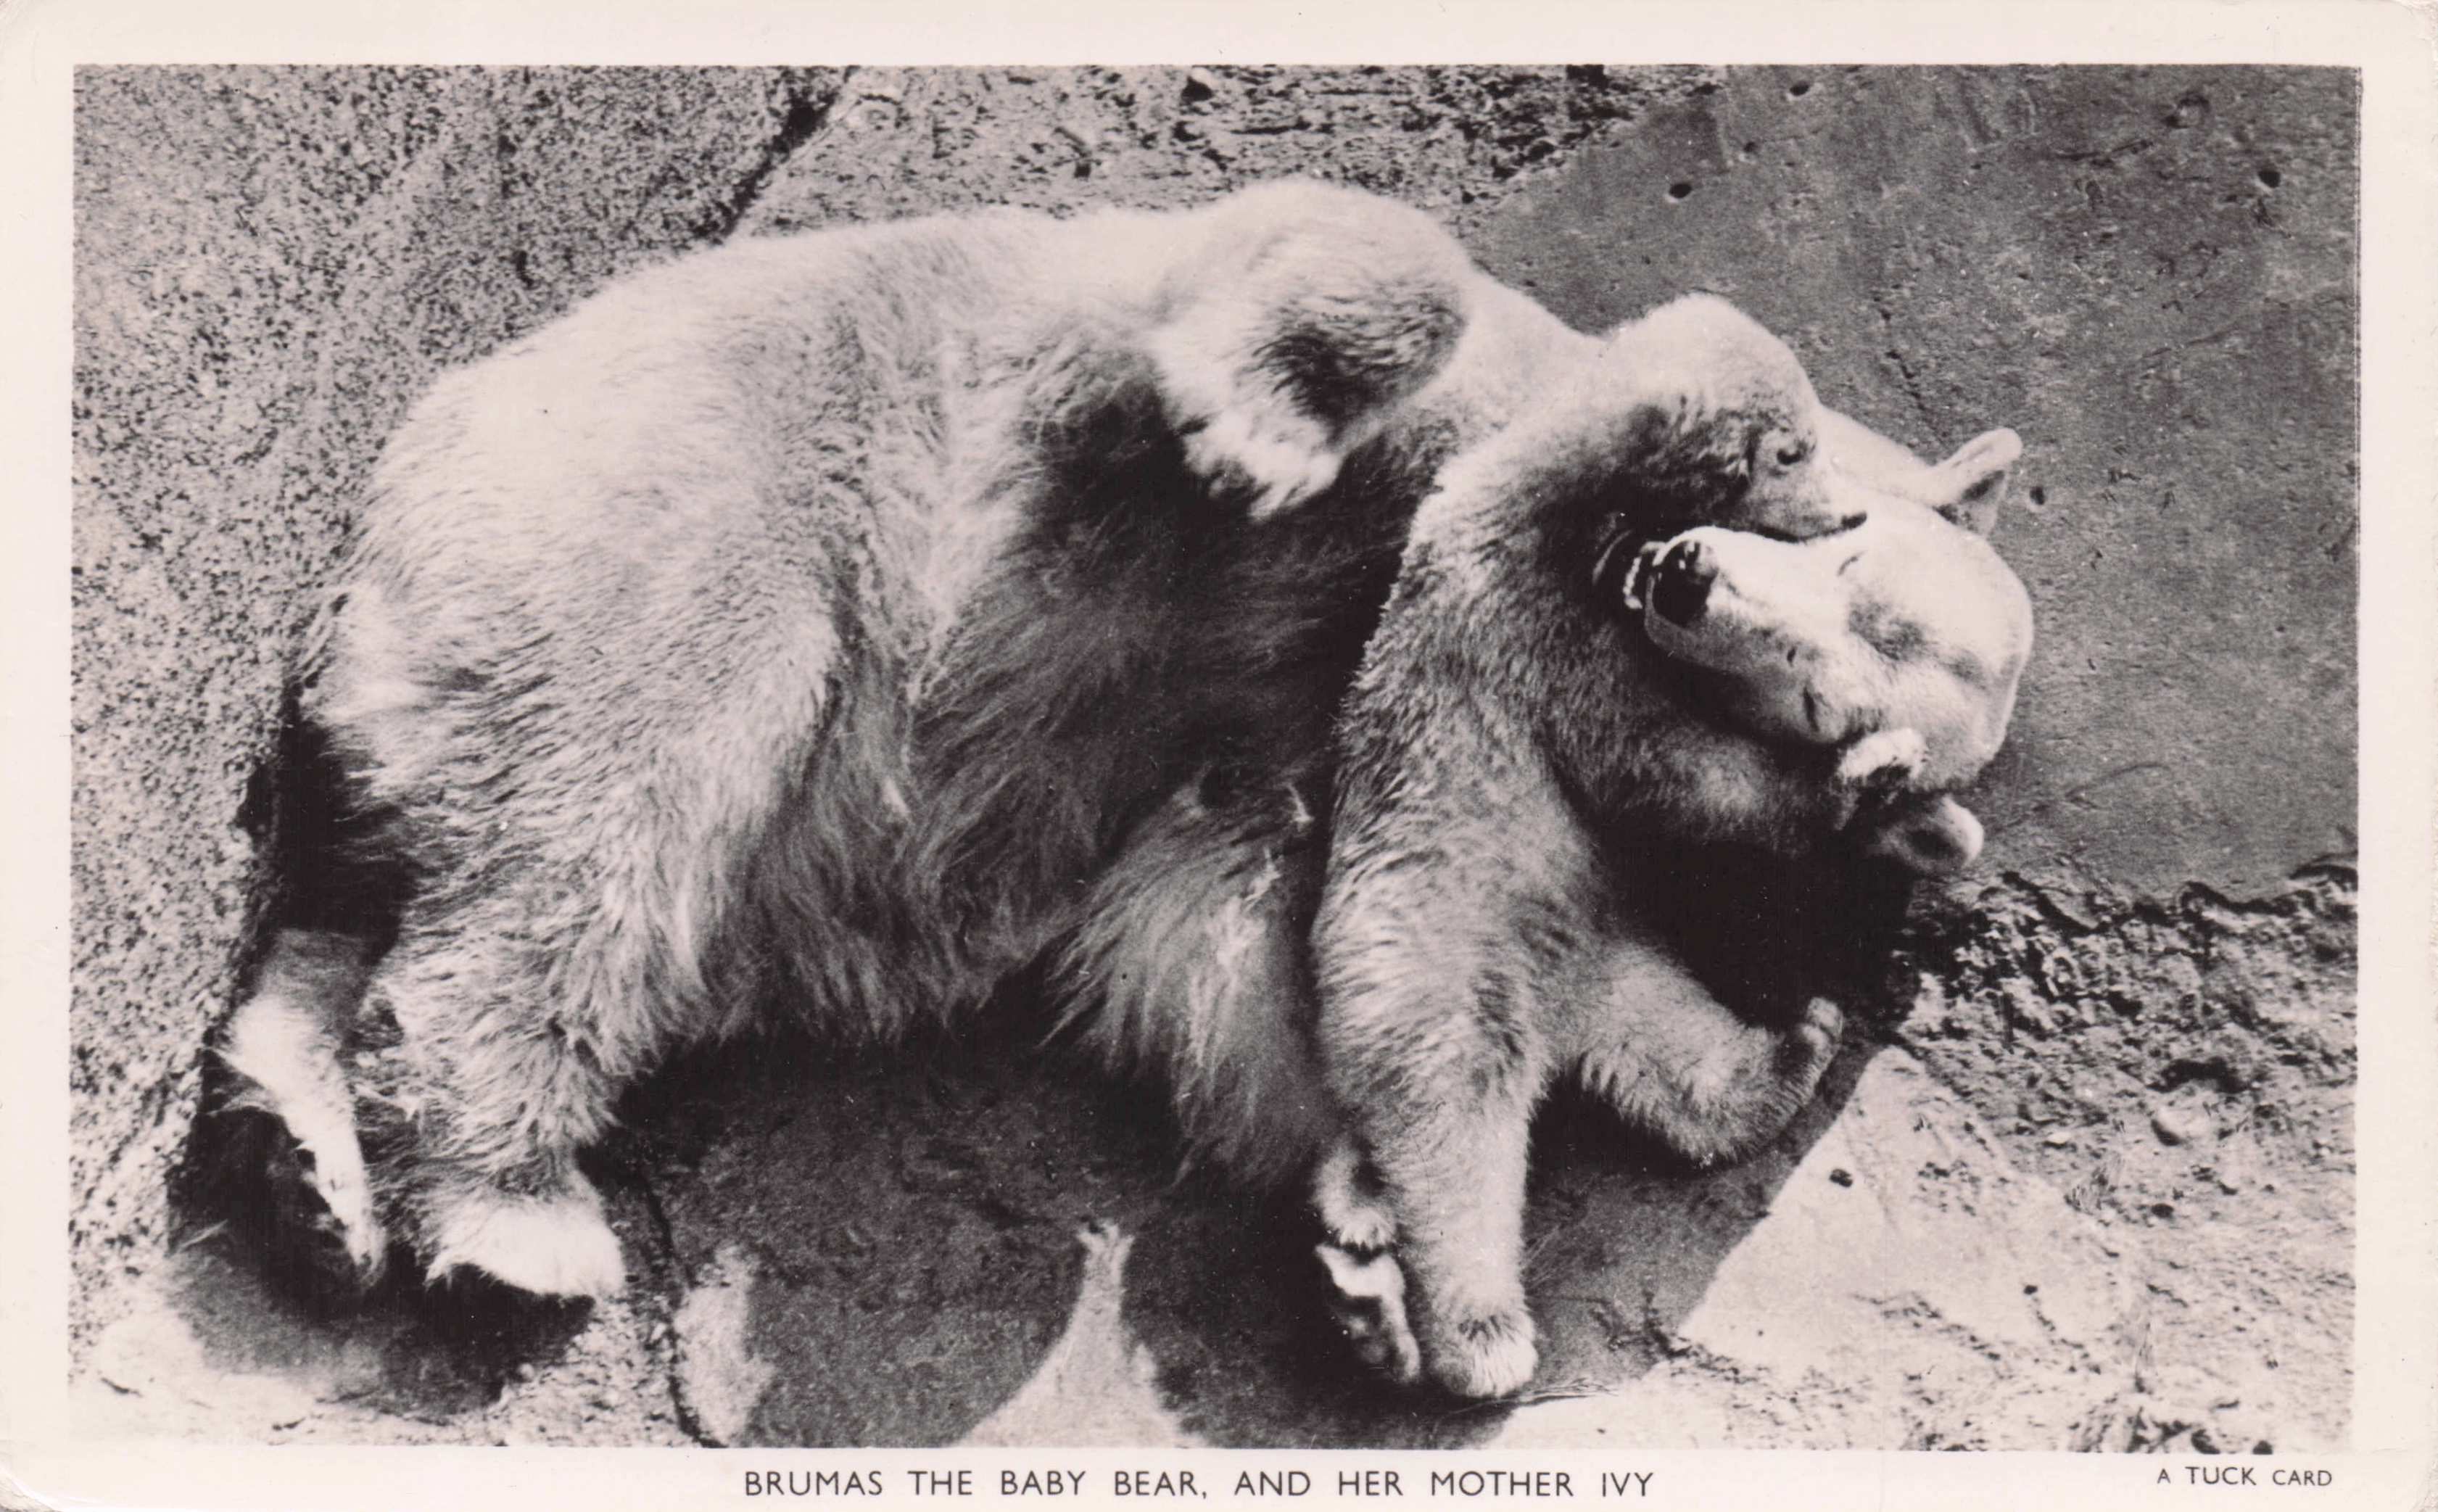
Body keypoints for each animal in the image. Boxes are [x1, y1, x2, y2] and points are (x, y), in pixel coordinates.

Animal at [212, 180, 1863, 1303]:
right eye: (1794, 459)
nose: (1847, 512)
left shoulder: (1283, 720)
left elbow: (1231, 922)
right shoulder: (1115, 405)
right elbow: (1337, 259)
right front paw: (1262, 423)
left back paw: (304, 1155)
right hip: (656, 493)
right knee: (623, 788)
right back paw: (510, 1212)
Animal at [1307, 409, 2033, 1398]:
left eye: (1814, 698)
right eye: (1846, 556)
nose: (1688, 579)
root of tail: (1553, 1020)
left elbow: (1677, 776)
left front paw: (1888, 802)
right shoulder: (1534, 606)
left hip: (1584, 950)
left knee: (1642, 1055)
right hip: (1429, 927)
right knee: (1450, 1101)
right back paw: (1446, 1320)